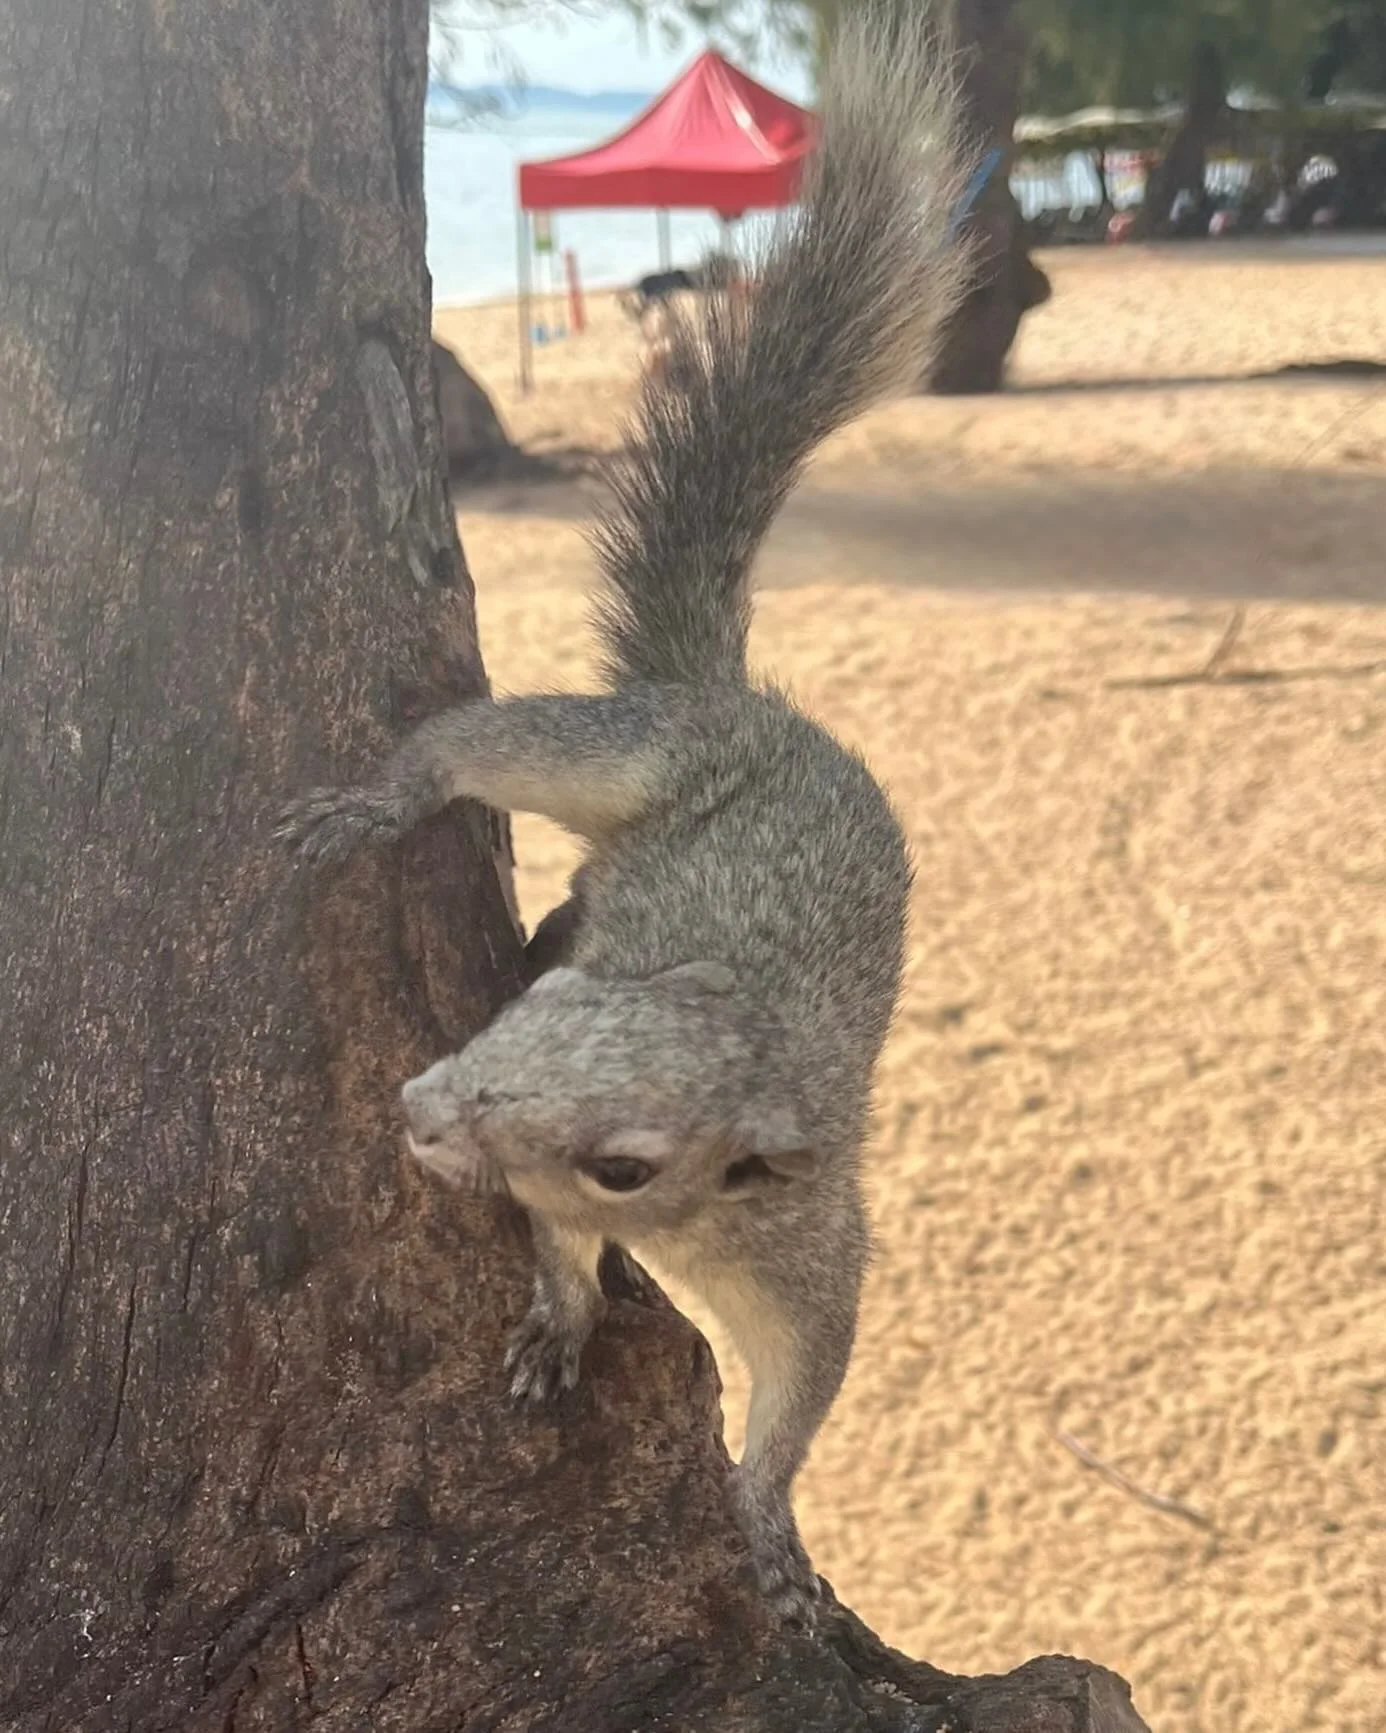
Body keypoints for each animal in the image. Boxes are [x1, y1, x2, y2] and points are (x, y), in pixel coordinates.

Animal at [277, 5, 968, 1627]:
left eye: (629, 1160)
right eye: (550, 1011)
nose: (422, 1108)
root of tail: (752, 705)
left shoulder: (810, 1247)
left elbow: (802, 1390)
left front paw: (771, 1531)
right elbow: (553, 1252)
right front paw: (557, 1317)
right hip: (629, 757)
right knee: (475, 750)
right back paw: (382, 802)